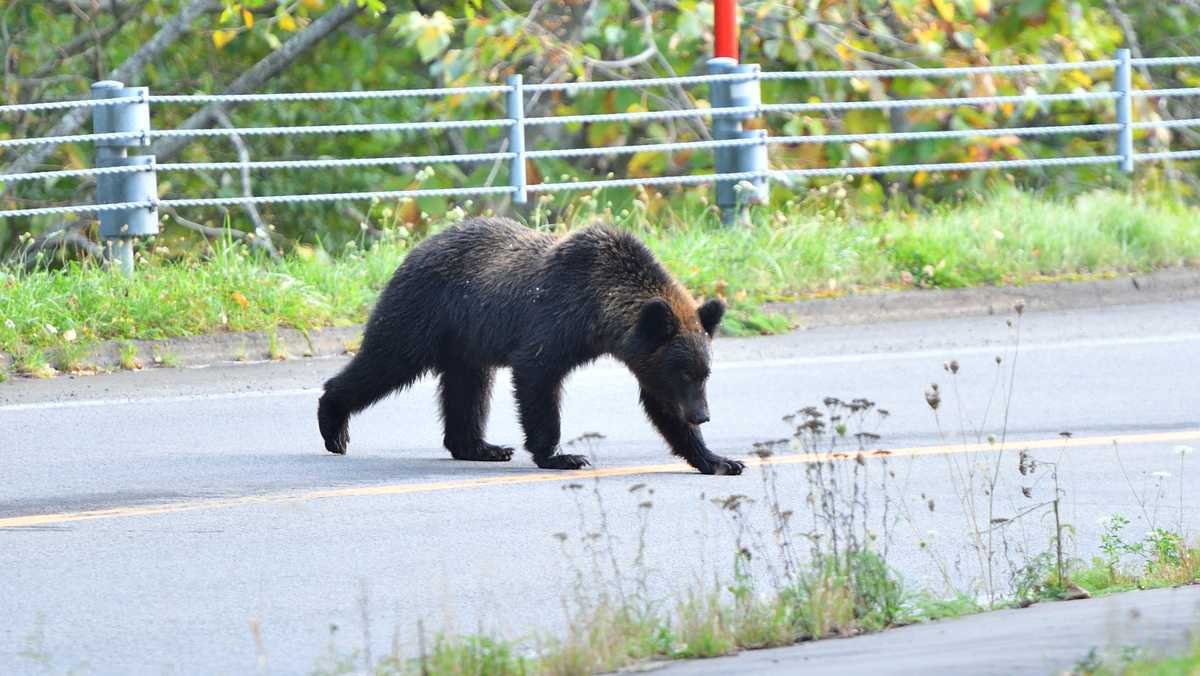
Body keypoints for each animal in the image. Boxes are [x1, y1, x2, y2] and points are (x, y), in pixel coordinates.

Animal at [317, 217, 744, 475]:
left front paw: (719, 459)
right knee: (387, 361)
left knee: (468, 388)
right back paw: (333, 424)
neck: (599, 314)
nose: (702, 415)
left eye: (704, 373)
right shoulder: (556, 319)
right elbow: (537, 377)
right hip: (424, 312)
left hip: (466, 341)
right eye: (685, 372)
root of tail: (417, 247)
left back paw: (481, 446)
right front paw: (562, 455)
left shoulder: (642, 356)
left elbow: (660, 406)